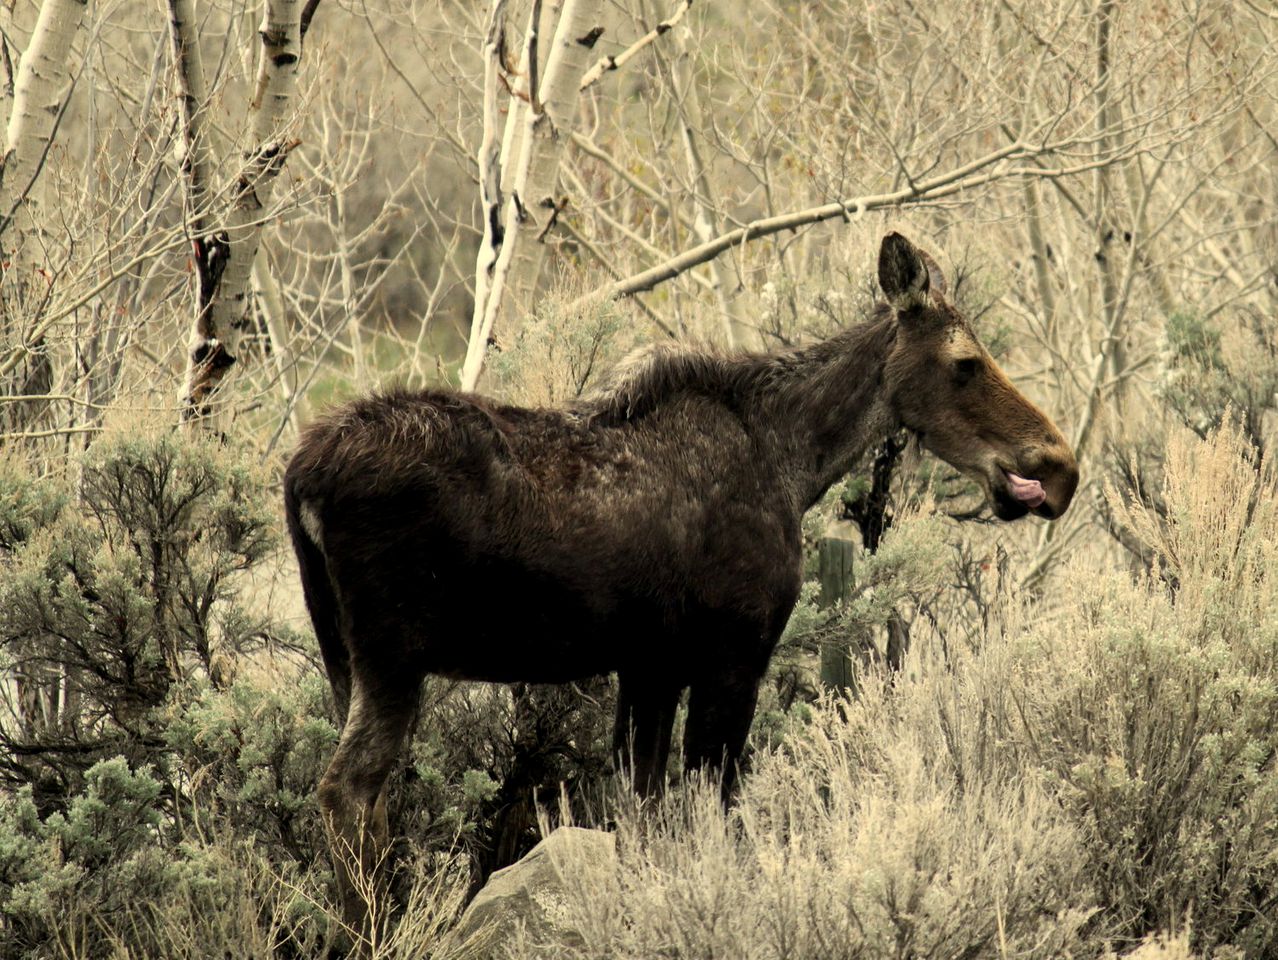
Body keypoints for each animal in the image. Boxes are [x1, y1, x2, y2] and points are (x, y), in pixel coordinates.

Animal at [282, 231, 1078, 930]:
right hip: (392, 656)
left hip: (344, 659)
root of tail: (299, 476)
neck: (798, 462)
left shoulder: (650, 665)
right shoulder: (735, 652)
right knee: (347, 789)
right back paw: (373, 931)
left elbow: (639, 812)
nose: (1059, 466)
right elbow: (711, 807)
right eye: (965, 361)